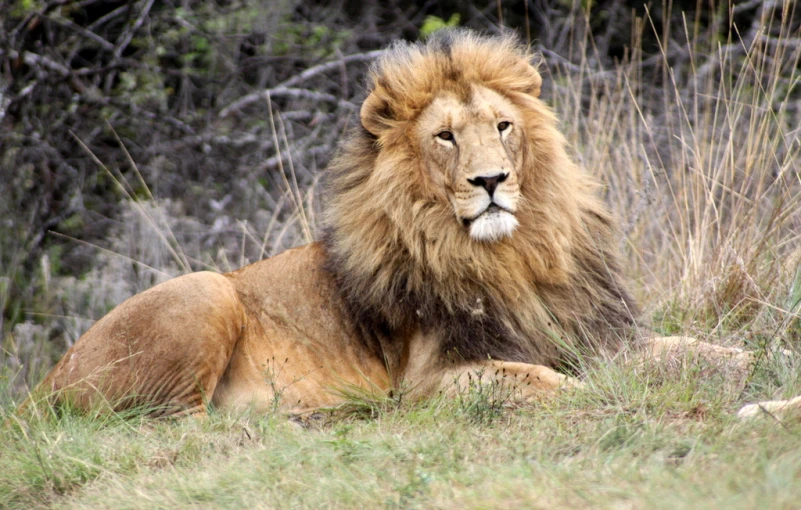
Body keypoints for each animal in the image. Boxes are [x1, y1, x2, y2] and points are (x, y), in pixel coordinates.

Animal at [28, 27, 792, 420]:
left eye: (502, 126)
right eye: (446, 138)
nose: (491, 182)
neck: (508, 257)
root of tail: (40, 385)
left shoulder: (594, 333)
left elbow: (718, 353)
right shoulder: (430, 381)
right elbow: (544, 382)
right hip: (204, 288)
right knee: (168, 425)